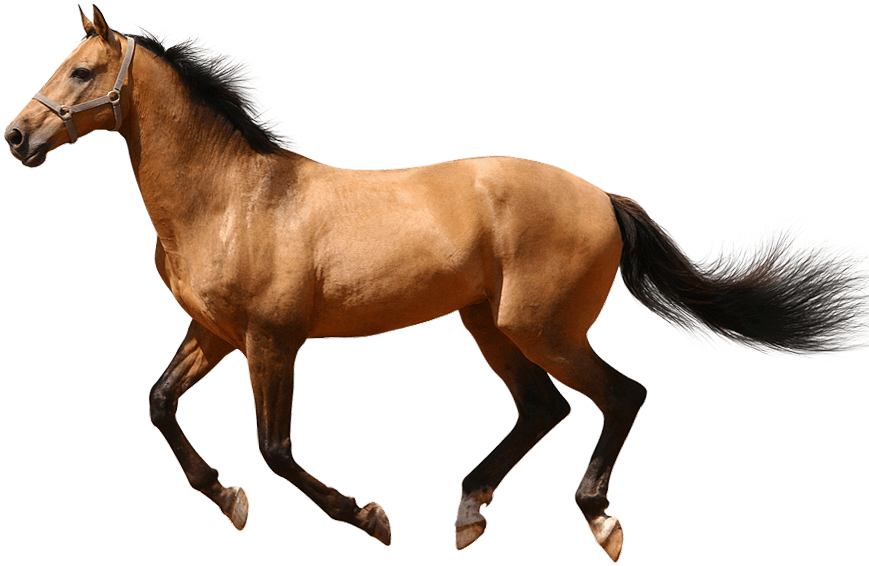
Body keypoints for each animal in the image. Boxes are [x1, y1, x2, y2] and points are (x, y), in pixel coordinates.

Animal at [5, 5, 867, 562]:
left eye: (83, 70)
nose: (17, 136)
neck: (230, 198)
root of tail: (601, 197)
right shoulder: (213, 333)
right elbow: (159, 404)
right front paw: (229, 501)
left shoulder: (271, 340)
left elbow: (276, 448)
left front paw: (370, 519)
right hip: (488, 324)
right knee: (543, 409)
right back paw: (468, 514)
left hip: (539, 326)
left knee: (620, 395)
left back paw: (599, 523)